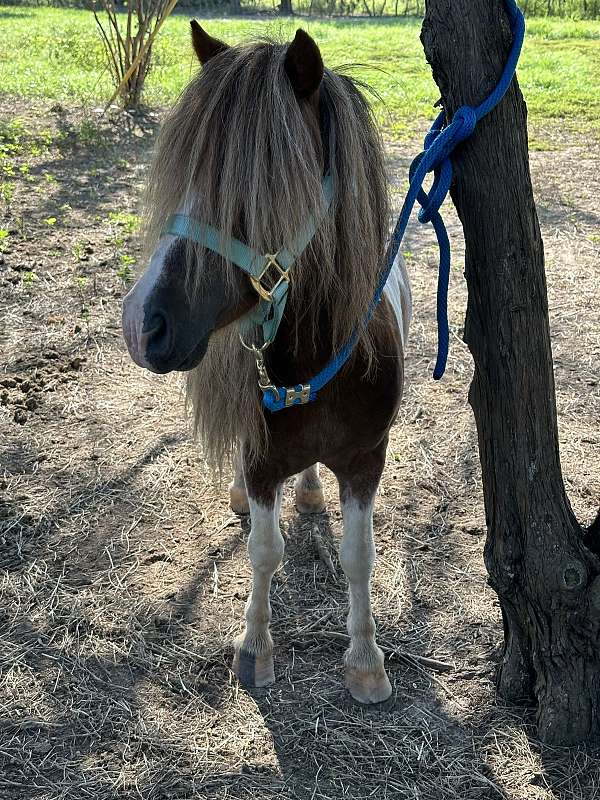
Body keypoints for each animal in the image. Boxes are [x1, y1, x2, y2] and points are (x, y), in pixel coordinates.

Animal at [122, 23, 412, 704]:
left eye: (264, 189)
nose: (142, 321)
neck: (320, 363)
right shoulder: (260, 461)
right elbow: (263, 550)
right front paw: (255, 648)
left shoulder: (367, 459)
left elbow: (358, 555)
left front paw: (366, 662)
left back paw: (307, 492)